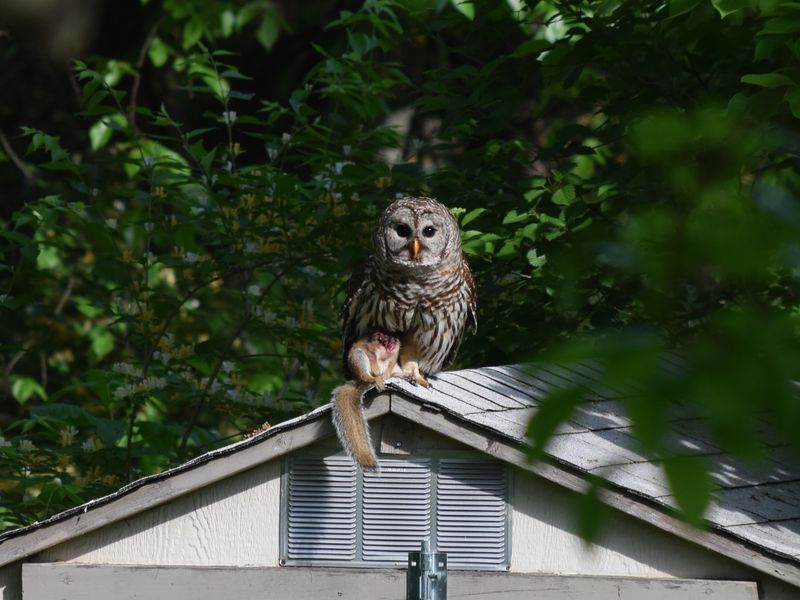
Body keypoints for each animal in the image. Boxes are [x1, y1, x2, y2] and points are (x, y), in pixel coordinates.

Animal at [332, 330, 402, 471]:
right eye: (383, 338)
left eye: (394, 339)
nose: (389, 345)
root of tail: (360, 382)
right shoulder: (370, 348)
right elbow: (372, 357)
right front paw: (378, 376)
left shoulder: (394, 355)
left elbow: (391, 362)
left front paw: (387, 375)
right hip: (358, 358)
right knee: (365, 371)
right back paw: (374, 379)